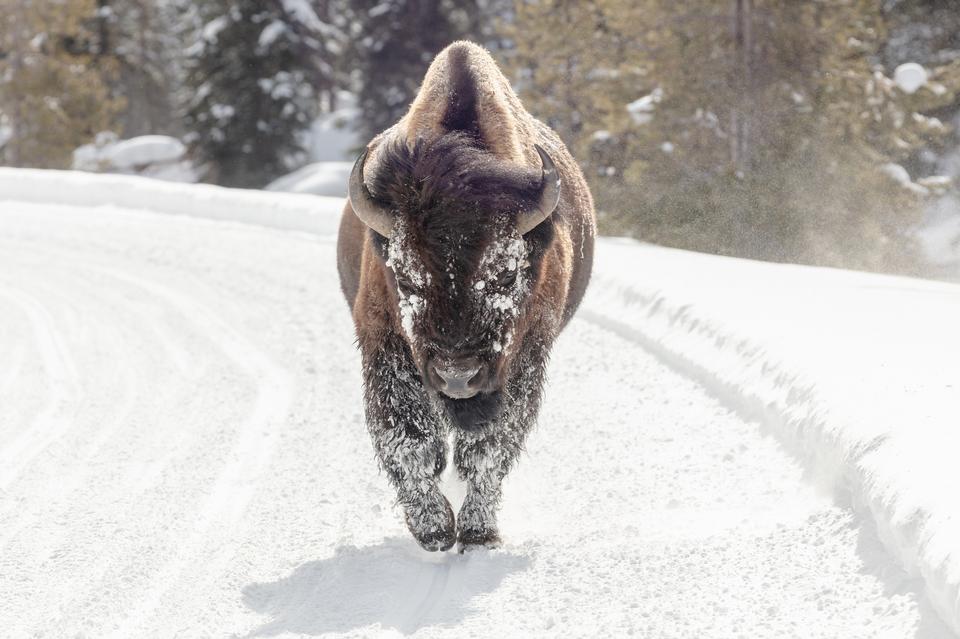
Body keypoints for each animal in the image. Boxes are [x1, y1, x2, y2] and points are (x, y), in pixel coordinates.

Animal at [338, 40, 592, 552]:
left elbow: (490, 447)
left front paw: (477, 533)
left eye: (505, 275)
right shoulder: (385, 345)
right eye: (406, 279)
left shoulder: (524, 357)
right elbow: (408, 439)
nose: (458, 376)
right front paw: (434, 529)